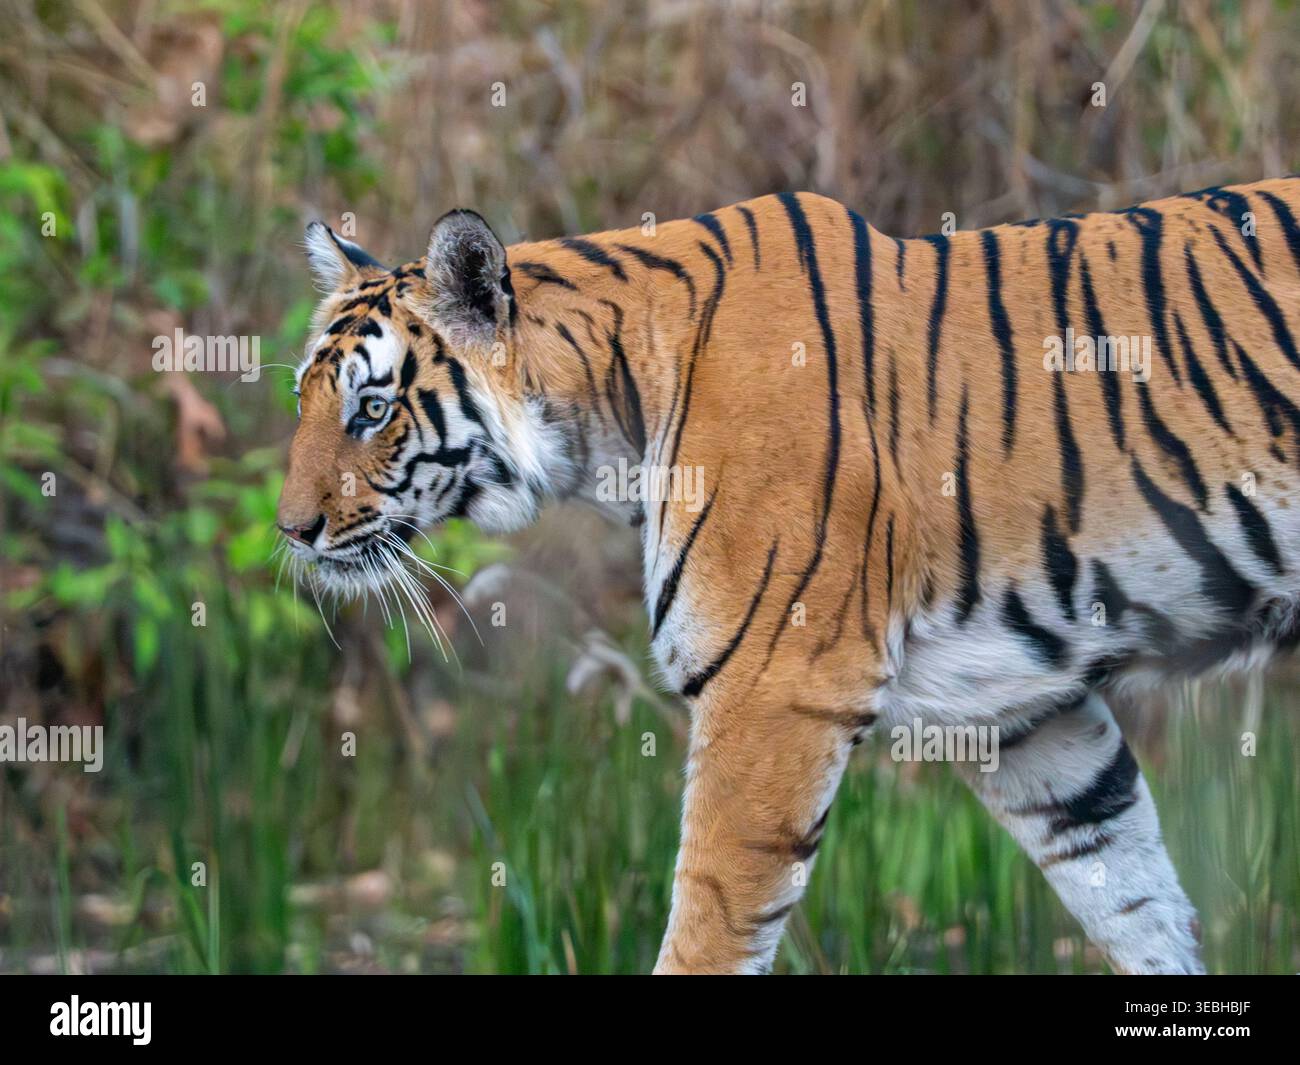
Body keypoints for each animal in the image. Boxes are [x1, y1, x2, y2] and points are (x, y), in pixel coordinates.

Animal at [278, 178, 1300, 975]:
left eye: (373, 410)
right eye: (305, 398)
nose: (291, 531)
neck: (609, 422)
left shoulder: (772, 687)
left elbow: (707, 929)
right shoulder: (1020, 712)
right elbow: (1134, 898)